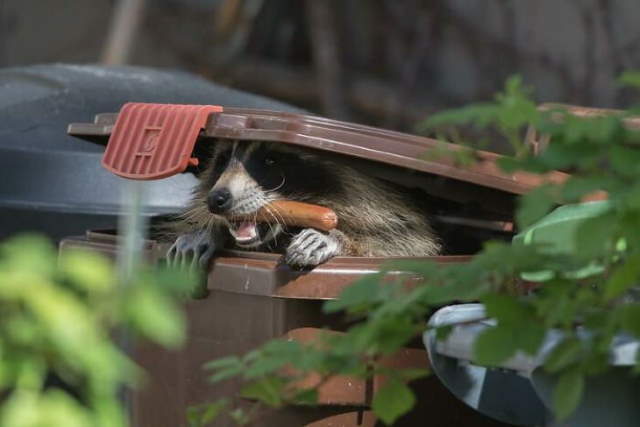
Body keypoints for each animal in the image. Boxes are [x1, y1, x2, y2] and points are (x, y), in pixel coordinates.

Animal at [166, 140, 441, 269]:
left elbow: (401, 246)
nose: (216, 200)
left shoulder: (398, 222)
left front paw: (338, 238)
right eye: (223, 160)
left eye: (270, 160)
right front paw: (208, 230)